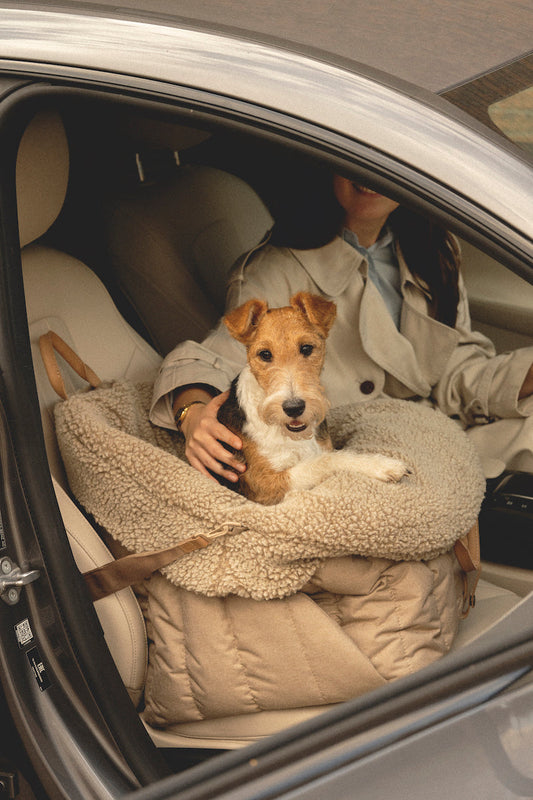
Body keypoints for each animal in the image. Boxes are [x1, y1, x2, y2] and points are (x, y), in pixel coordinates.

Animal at [216, 294, 408, 504]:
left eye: (306, 348)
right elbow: (325, 461)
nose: (294, 408)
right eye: (264, 354)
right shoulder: (263, 484)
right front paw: (383, 465)